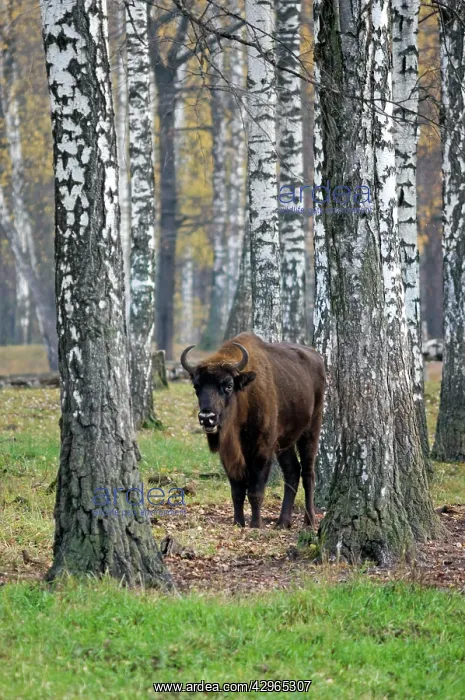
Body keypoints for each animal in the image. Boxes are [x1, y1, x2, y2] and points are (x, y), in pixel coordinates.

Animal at [181, 332, 325, 528]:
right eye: (197, 386)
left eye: (228, 385)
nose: (207, 417)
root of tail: (317, 358)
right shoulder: (229, 454)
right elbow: (237, 491)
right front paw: (238, 523)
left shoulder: (262, 450)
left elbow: (255, 491)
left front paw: (256, 524)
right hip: (284, 443)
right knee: (292, 472)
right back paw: (282, 522)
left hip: (311, 430)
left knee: (308, 473)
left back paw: (309, 521)